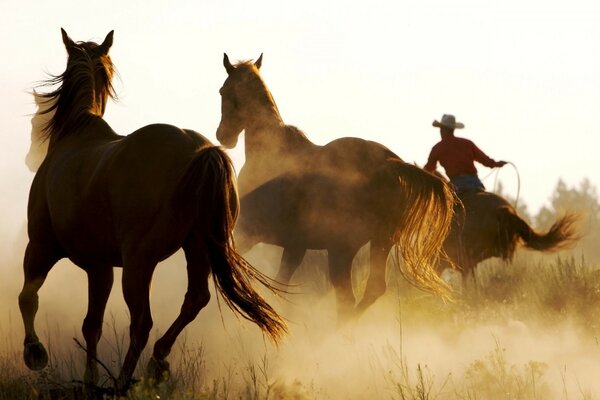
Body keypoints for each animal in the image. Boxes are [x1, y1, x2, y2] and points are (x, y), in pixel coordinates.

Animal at [18, 28, 286, 394]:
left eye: (36, 121)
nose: (29, 158)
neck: (75, 136)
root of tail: (200, 152)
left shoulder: (42, 247)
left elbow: (29, 298)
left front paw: (36, 353)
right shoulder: (99, 266)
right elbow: (92, 324)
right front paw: (90, 380)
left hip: (138, 262)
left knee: (142, 322)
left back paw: (123, 381)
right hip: (196, 249)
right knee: (194, 300)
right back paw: (156, 363)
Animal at [216, 54, 454, 318]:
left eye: (222, 91)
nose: (223, 135)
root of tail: (390, 164)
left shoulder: (248, 232)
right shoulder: (295, 246)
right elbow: (281, 284)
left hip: (341, 250)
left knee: (348, 299)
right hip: (378, 243)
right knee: (371, 290)